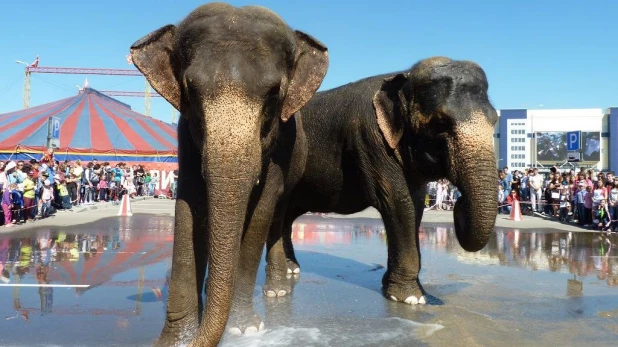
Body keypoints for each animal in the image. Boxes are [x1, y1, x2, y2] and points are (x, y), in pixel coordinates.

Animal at [129, 3, 328, 347]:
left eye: (273, 95)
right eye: (191, 91)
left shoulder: (283, 146)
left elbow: (261, 211)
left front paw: (243, 328)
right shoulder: (185, 135)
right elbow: (190, 205)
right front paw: (174, 341)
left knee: (277, 216)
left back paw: (277, 290)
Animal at [264, 56, 496, 308]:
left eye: (495, 120)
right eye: (441, 123)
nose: (458, 204)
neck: (403, 76)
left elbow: (414, 205)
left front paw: (392, 287)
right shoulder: (372, 138)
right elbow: (399, 203)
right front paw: (411, 299)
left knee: (287, 214)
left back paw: (292, 269)